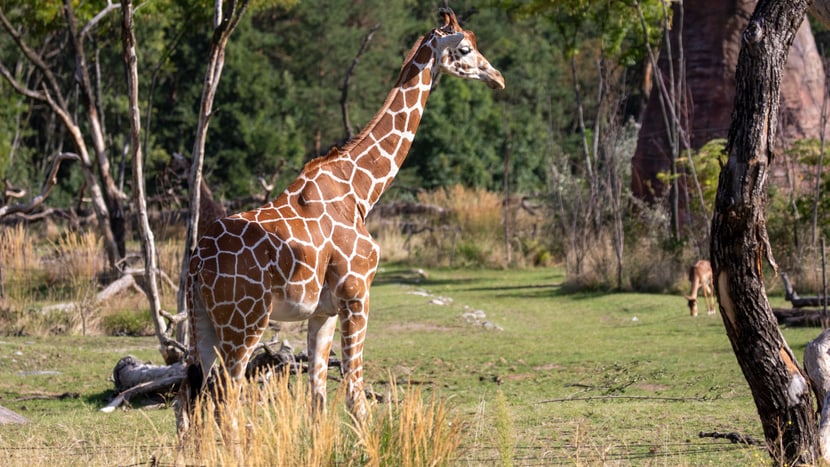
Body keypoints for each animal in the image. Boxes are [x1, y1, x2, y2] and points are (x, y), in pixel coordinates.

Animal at [177, 7, 508, 432]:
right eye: (464, 48)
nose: (497, 77)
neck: (362, 190)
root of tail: (197, 264)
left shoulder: (324, 311)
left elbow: (318, 399)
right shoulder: (357, 293)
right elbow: (355, 396)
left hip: (202, 322)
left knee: (191, 404)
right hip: (244, 322)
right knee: (226, 403)